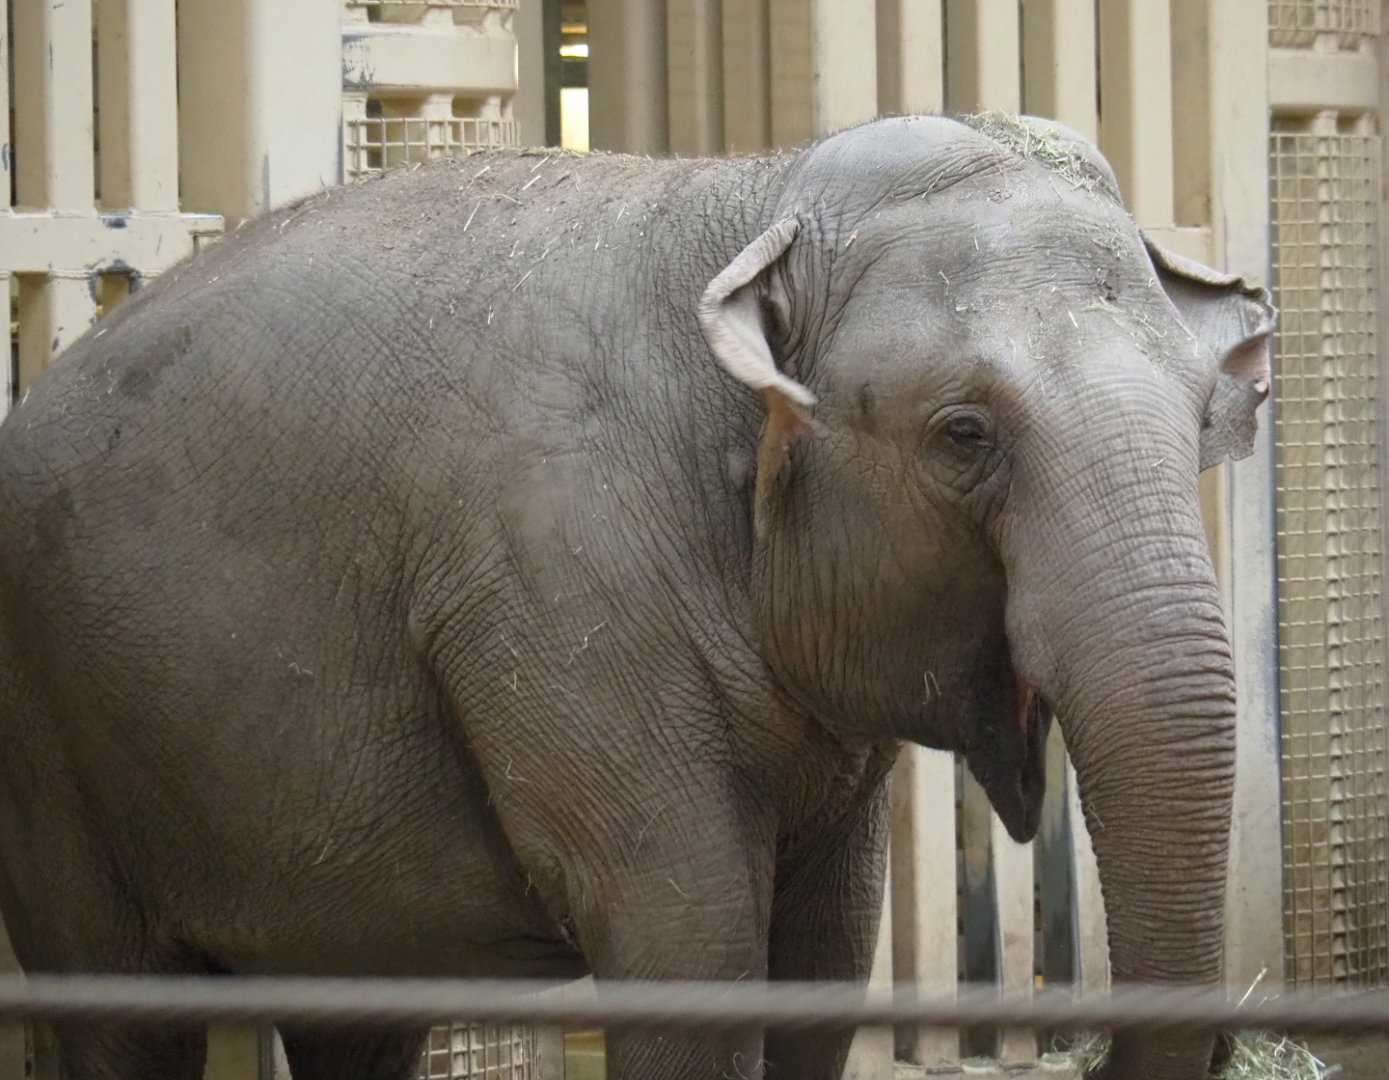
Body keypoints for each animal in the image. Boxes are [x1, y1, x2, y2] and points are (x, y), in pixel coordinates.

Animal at [0, 112, 1274, 1080]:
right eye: (964, 435)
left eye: (1205, 415)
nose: (1093, 1052)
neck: (754, 199)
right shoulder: (554, 579)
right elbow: (692, 940)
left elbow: (827, 950)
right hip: (56, 752)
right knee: (122, 1013)